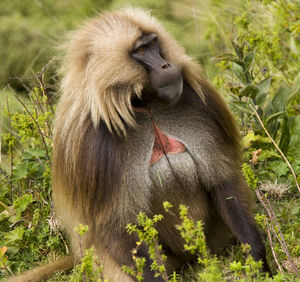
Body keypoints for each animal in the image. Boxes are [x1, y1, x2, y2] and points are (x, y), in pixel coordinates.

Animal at [7, 7, 270, 280]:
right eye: (141, 50)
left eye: (154, 44)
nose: (167, 65)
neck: (144, 104)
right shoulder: (95, 146)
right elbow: (116, 225)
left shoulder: (197, 103)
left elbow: (222, 182)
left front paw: (257, 260)